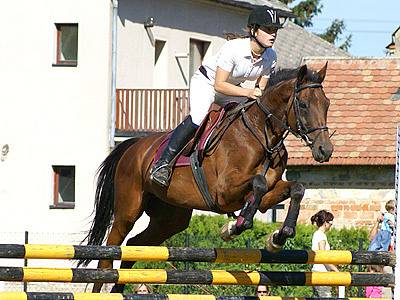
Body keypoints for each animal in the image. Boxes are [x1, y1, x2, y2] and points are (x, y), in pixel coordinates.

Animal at [79, 63, 332, 292]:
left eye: (327, 104)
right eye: (303, 104)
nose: (325, 150)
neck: (262, 134)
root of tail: (133, 146)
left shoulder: (269, 193)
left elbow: (296, 188)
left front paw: (280, 235)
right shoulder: (224, 192)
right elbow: (257, 184)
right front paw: (235, 227)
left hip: (170, 219)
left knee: (134, 247)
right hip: (128, 210)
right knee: (109, 252)